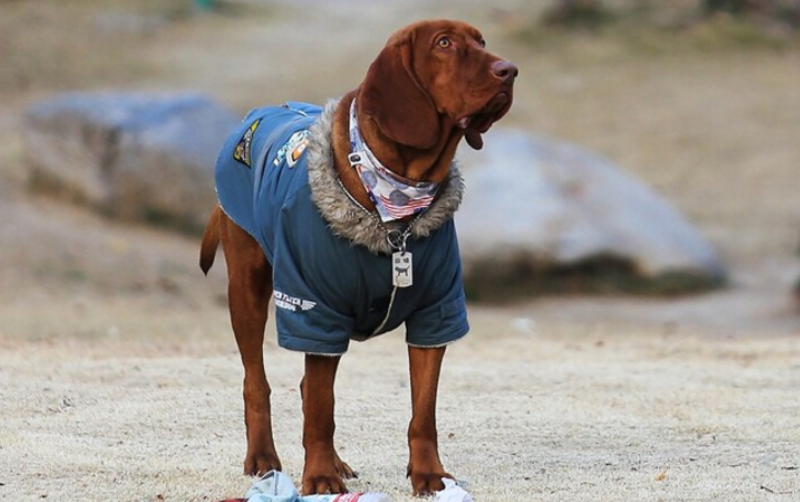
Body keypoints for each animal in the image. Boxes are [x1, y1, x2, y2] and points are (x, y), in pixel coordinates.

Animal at [197, 18, 516, 494]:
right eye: (444, 43)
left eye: (481, 42)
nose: (509, 71)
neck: (395, 199)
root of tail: (254, 118)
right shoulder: (314, 312)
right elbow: (320, 409)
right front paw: (320, 478)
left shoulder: (436, 314)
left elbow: (423, 412)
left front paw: (428, 474)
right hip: (248, 290)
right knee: (259, 382)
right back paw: (264, 458)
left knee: (309, 388)